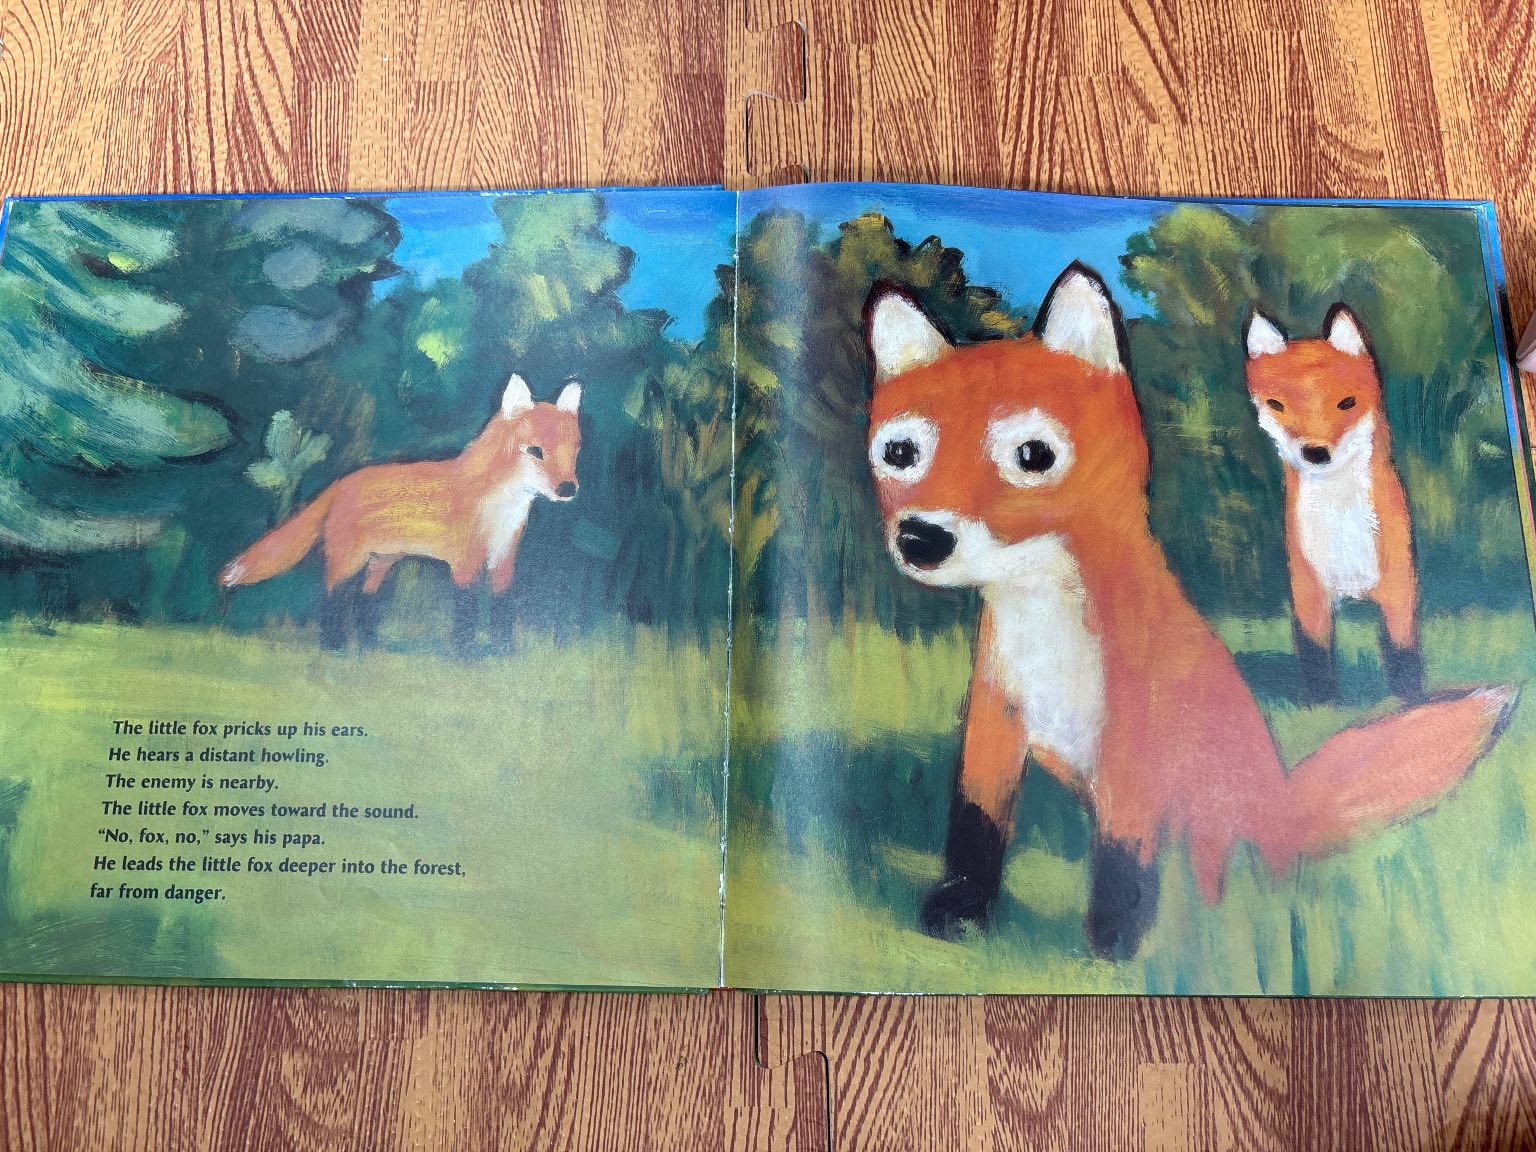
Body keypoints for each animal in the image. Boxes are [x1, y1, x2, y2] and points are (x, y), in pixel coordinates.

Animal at [221, 374, 581, 653]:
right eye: (535, 451)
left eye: (574, 451)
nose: (568, 489)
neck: (500, 508)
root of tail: (342, 482)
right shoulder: (465, 562)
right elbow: (464, 613)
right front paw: (467, 657)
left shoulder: (504, 557)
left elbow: (503, 608)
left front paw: (504, 652)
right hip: (348, 563)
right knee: (334, 603)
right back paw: (335, 650)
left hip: (382, 563)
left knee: (366, 603)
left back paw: (369, 647)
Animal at [1245, 306, 1421, 703]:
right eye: (1277, 405)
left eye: (1346, 403)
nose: (1315, 452)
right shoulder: (1308, 592)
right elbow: (1316, 661)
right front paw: (1324, 706)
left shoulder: (1399, 589)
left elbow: (1403, 657)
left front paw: (1412, 700)